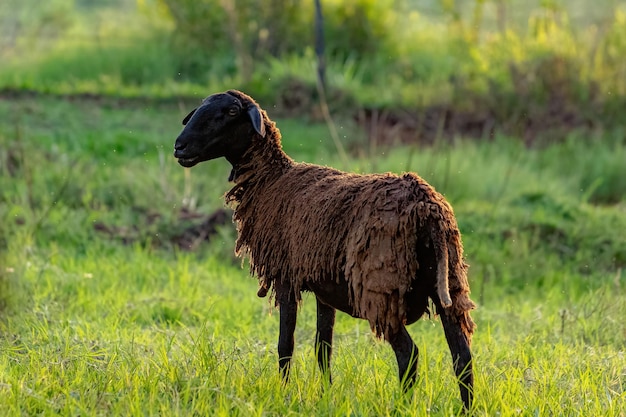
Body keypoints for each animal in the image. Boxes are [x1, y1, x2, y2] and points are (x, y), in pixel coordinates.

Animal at [171, 89, 472, 408]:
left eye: (230, 112)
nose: (179, 146)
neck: (270, 180)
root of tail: (425, 205)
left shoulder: (286, 276)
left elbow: (285, 344)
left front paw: (283, 393)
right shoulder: (324, 289)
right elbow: (323, 348)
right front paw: (325, 395)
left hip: (381, 288)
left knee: (409, 354)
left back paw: (401, 407)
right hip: (449, 283)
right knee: (462, 357)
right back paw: (466, 410)